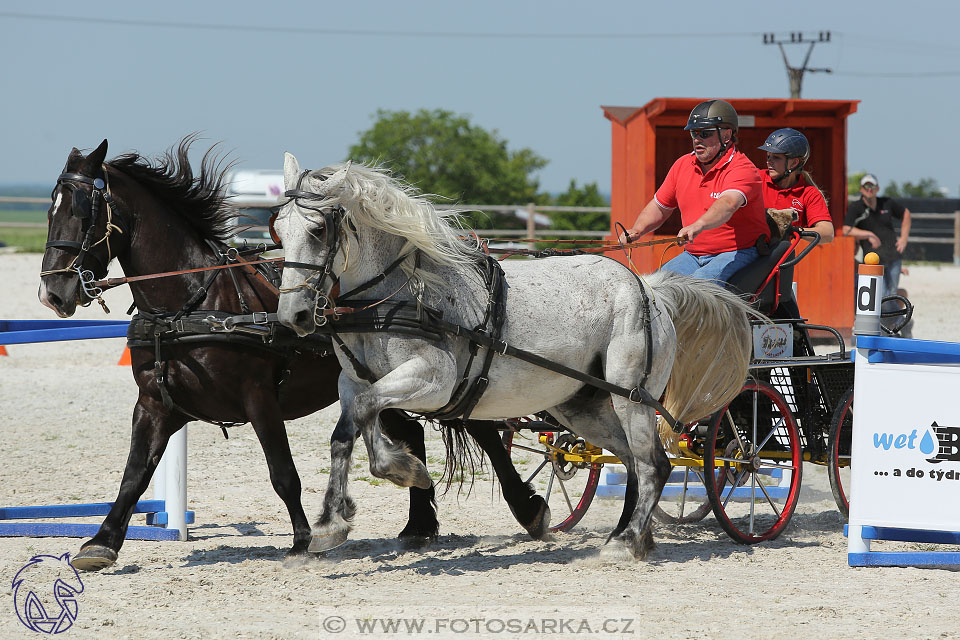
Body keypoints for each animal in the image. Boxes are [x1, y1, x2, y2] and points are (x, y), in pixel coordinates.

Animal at [37, 139, 548, 568]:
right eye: (50, 208)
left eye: (83, 211)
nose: (53, 293)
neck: (191, 303)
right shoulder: (154, 405)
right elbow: (135, 474)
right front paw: (100, 543)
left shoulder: (259, 398)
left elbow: (283, 473)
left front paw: (305, 539)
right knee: (414, 435)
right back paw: (418, 525)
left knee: (483, 432)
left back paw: (529, 510)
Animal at [274, 156, 752, 560]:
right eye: (278, 230)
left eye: (318, 230)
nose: (292, 316)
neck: (399, 294)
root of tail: (650, 288)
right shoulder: (352, 382)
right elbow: (349, 427)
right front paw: (331, 523)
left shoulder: (433, 378)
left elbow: (369, 411)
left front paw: (404, 471)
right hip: (582, 406)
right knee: (633, 459)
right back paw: (630, 535)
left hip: (630, 397)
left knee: (654, 463)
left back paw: (626, 541)